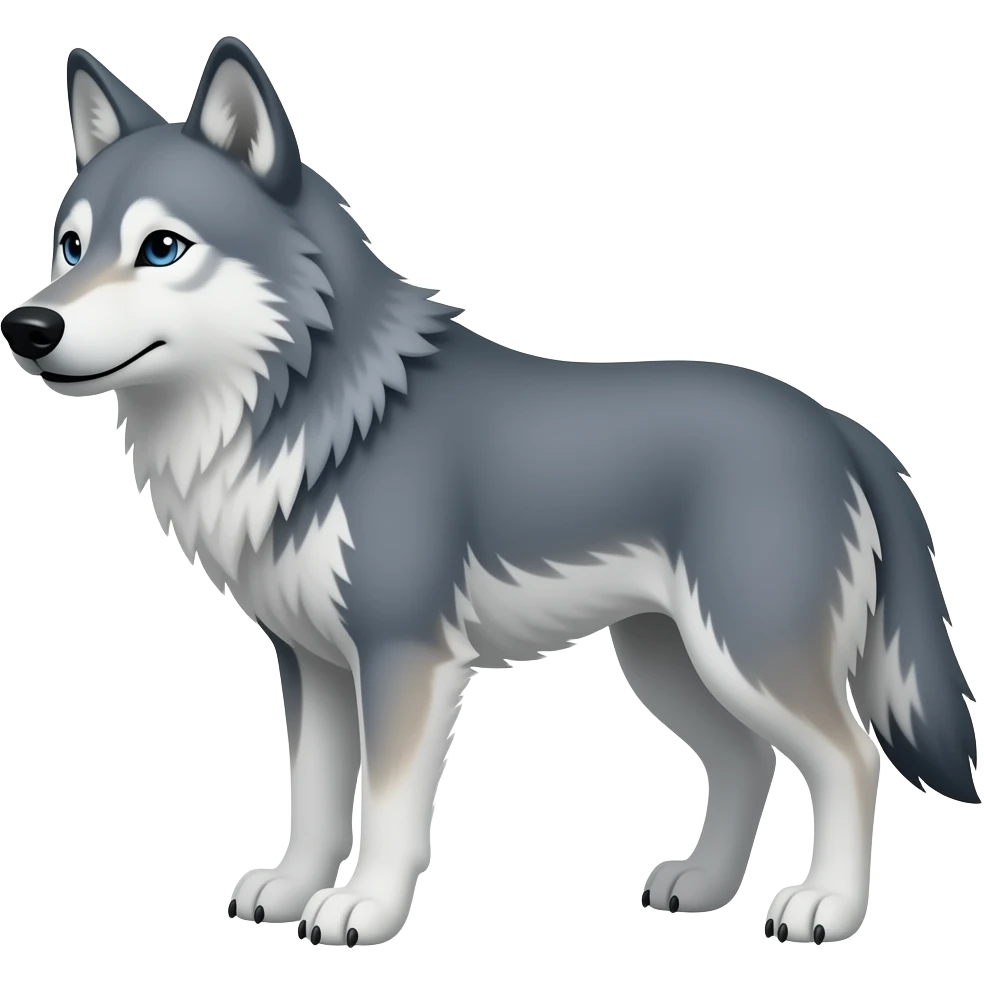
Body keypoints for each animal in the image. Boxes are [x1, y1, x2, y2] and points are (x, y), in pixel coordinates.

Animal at [2, 36, 978, 950]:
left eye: (161, 248)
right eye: (71, 246)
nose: (27, 326)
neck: (313, 412)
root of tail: (841, 426)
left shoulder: (405, 659)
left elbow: (387, 807)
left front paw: (363, 907)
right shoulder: (312, 663)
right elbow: (313, 796)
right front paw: (289, 889)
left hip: (747, 655)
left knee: (848, 759)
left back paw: (827, 908)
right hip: (669, 661)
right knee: (747, 762)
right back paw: (701, 887)